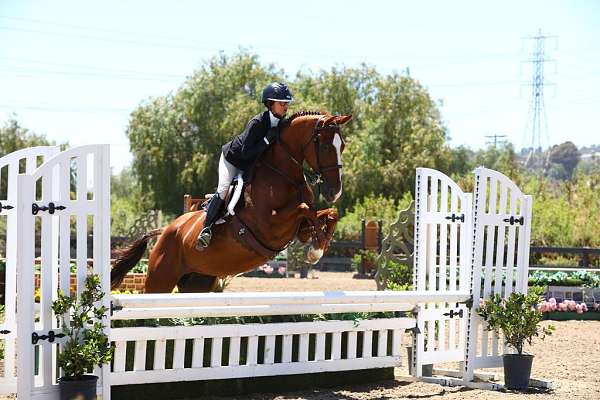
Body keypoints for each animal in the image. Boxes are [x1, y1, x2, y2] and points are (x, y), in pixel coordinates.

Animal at [110, 111, 352, 292]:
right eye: (325, 147)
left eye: (342, 146)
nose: (335, 192)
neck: (284, 174)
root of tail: (166, 230)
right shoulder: (270, 227)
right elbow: (304, 208)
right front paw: (316, 250)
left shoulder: (298, 229)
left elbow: (328, 214)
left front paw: (318, 246)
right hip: (161, 278)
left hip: (197, 281)